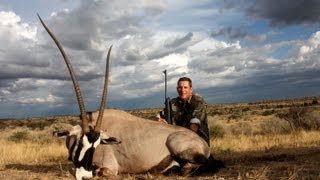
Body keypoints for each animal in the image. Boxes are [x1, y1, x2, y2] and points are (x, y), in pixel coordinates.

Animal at [37, 13, 224, 179]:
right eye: (80, 143)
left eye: (96, 145)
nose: (85, 176)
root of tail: (203, 144)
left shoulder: (110, 167)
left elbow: (100, 171)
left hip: (177, 144)